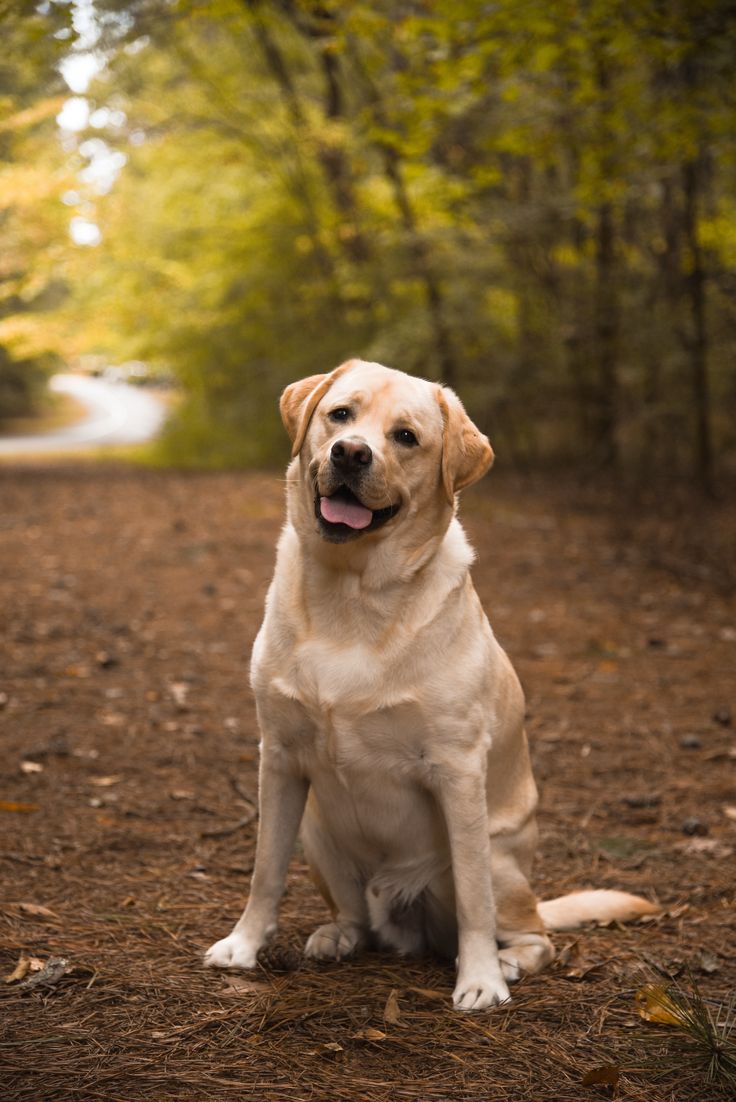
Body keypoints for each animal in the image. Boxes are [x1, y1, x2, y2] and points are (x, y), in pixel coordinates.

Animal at [203, 359, 656, 1009]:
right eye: (340, 414)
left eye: (406, 437)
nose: (349, 453)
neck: (352, 594)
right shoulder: (280, 757)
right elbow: (266, 869)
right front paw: (243, 945)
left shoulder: (458, 769)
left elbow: (473, 902)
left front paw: (481, 980)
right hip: (318, 832)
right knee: (358, 917)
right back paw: (338, 935)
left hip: (499, 862)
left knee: (531, 932)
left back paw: (507, 961)